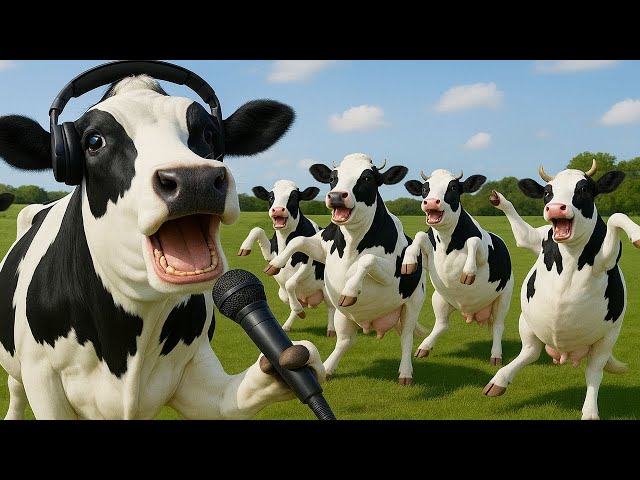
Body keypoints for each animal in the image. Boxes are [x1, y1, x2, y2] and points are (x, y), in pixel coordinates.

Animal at [0, 73, 326, 419]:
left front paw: (288, 362)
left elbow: (233, 400)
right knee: (15, 391)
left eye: (208, 132)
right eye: (93, 141)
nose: (194, 179)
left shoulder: (194, 371)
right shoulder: (42, 378)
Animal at [238, 180, 335, 335]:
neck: (284, 239)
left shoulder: (308, 263)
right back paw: (288, 324)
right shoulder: (271, 255)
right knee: (291, 300)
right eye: (271, 196)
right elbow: (257, 229)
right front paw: (245, 247)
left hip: (326, 290)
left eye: (294, 196)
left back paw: (331, 329)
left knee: (331, 307)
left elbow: (290, 283)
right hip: (281, 294)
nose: (278, 210)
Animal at [264, 153, 427, 385]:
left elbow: (366, 259)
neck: (351, 243)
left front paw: (350, 290)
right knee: (345, 341)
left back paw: (405, 373)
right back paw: (326, 369)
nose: (336, 196)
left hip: (412, 303)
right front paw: (275, 264)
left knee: (406, 337)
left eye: (368, 178)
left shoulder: (390, 273)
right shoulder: (321, 248)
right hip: (344, 316)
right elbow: (298, 241)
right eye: (333, 177)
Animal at [402, 169, 513, 365]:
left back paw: (496, 355)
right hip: (439, 297)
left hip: (504, 296)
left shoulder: (483, 255)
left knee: (499, 325)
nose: (431, 202)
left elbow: (473, 240)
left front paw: (468, 272)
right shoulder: (429, 256)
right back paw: (424, 347)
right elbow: (419, 235)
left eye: (453, 187)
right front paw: (409, 261)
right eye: (424, 188)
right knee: (442, 324)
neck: (447, 241)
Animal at [484, 160, 640, 419]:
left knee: (593, 371)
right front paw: (499, 199)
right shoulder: (534, 239)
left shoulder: (608, 257)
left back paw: (590, 411)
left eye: (584, 189)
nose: (556, 207)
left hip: (607, 337)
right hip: (527, 322)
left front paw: (636, 233)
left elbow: (617, 216)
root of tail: (566, 353)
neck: (569, 254)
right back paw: (498, 381)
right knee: (529, 352)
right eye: (548, 192)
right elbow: (521, 233)